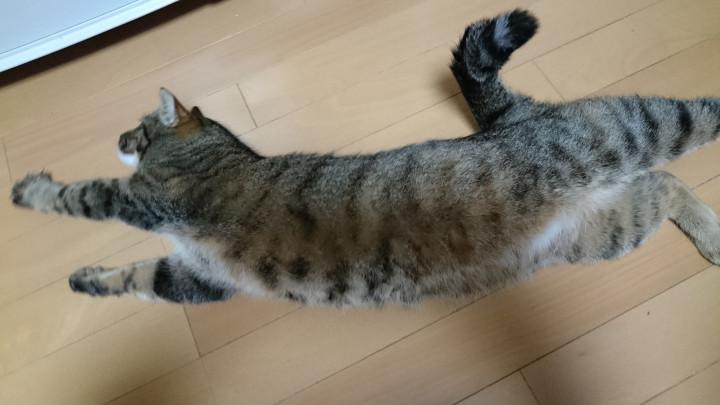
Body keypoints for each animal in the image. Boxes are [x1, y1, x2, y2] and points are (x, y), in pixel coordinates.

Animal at [11, 9, 720, 307]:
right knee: (664, 184)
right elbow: (135, 277)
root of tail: (515, 117)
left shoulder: (147, 198)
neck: (212, 149)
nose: (119, 138)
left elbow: (81, 194)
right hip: (600, 229)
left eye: (136, 129)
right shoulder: (195, 277)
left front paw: (29, 190)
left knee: (688, 119)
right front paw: (86, 280)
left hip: (628, 130)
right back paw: (711, 235)